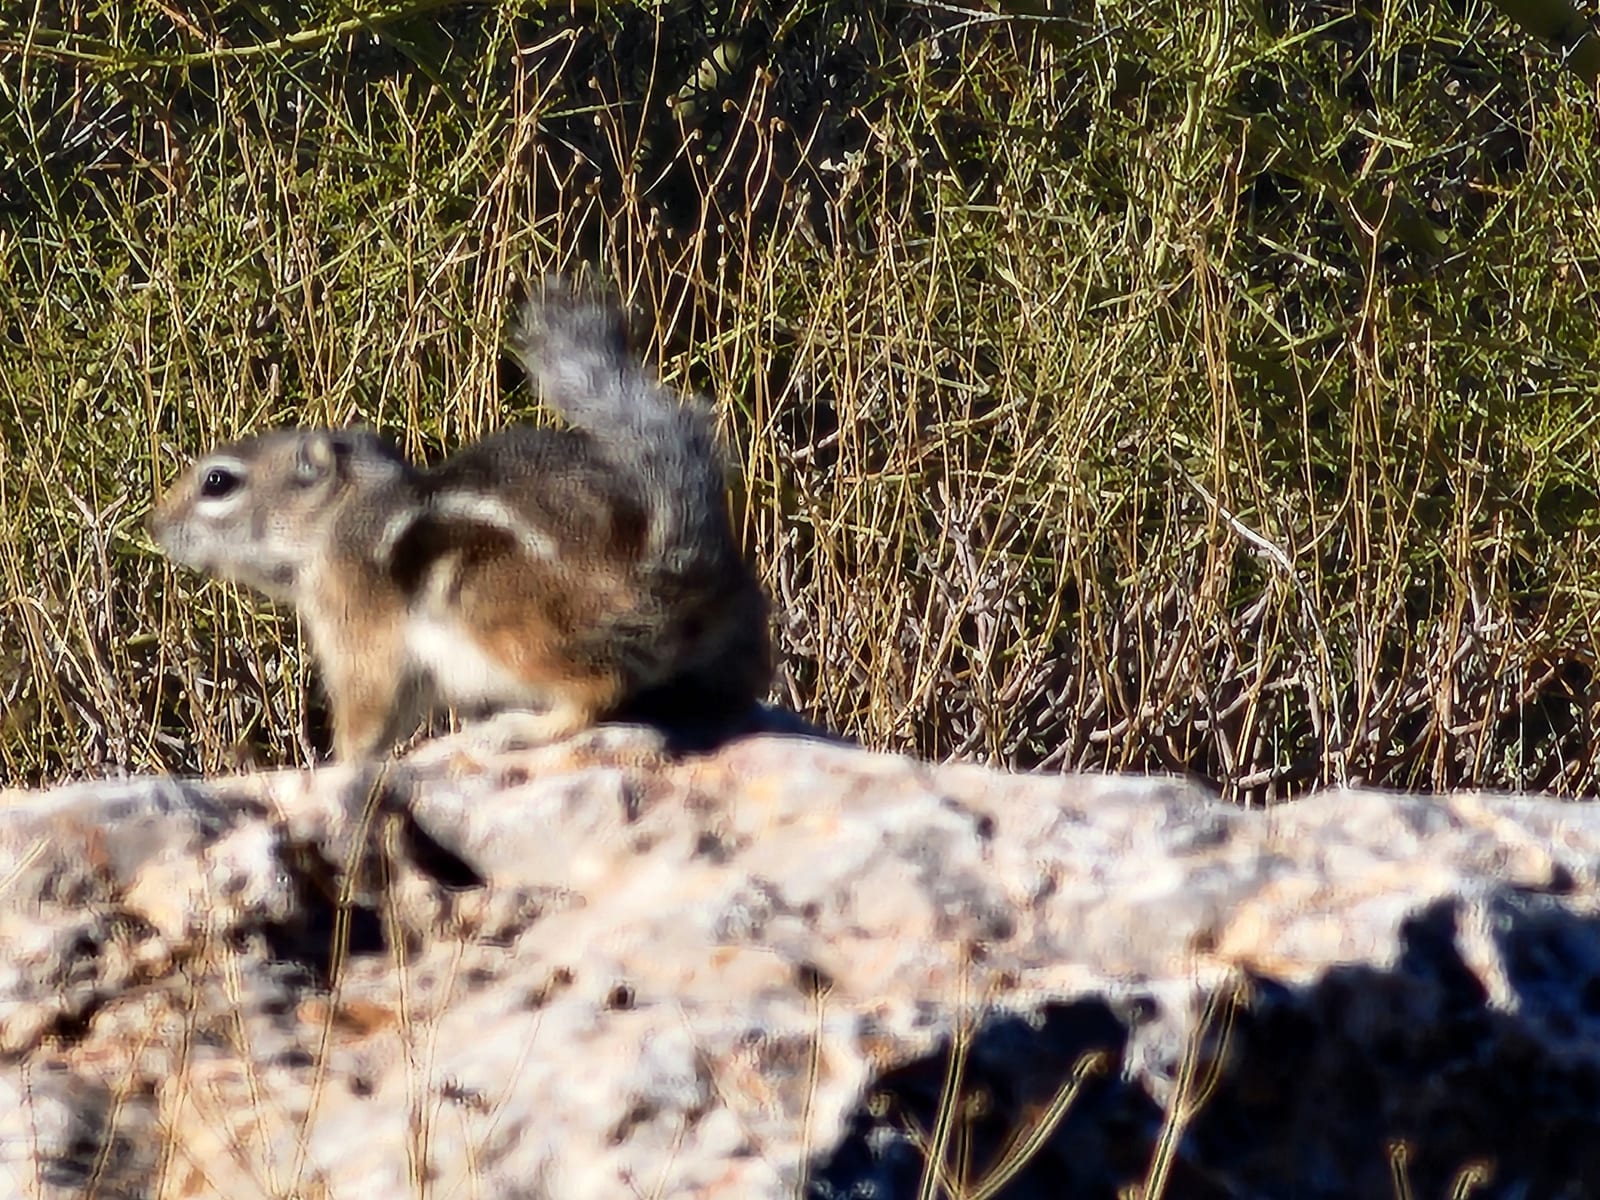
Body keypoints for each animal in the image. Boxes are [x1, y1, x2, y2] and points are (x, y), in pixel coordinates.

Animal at [147, 279, 771, 760]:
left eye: (218, 482)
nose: (155, 528)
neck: (337, 516)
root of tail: (669, 566)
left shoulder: (356, 623)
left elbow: (366, 711)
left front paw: (337, 767)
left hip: (500, 614)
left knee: (597, 688)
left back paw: (522, 729)